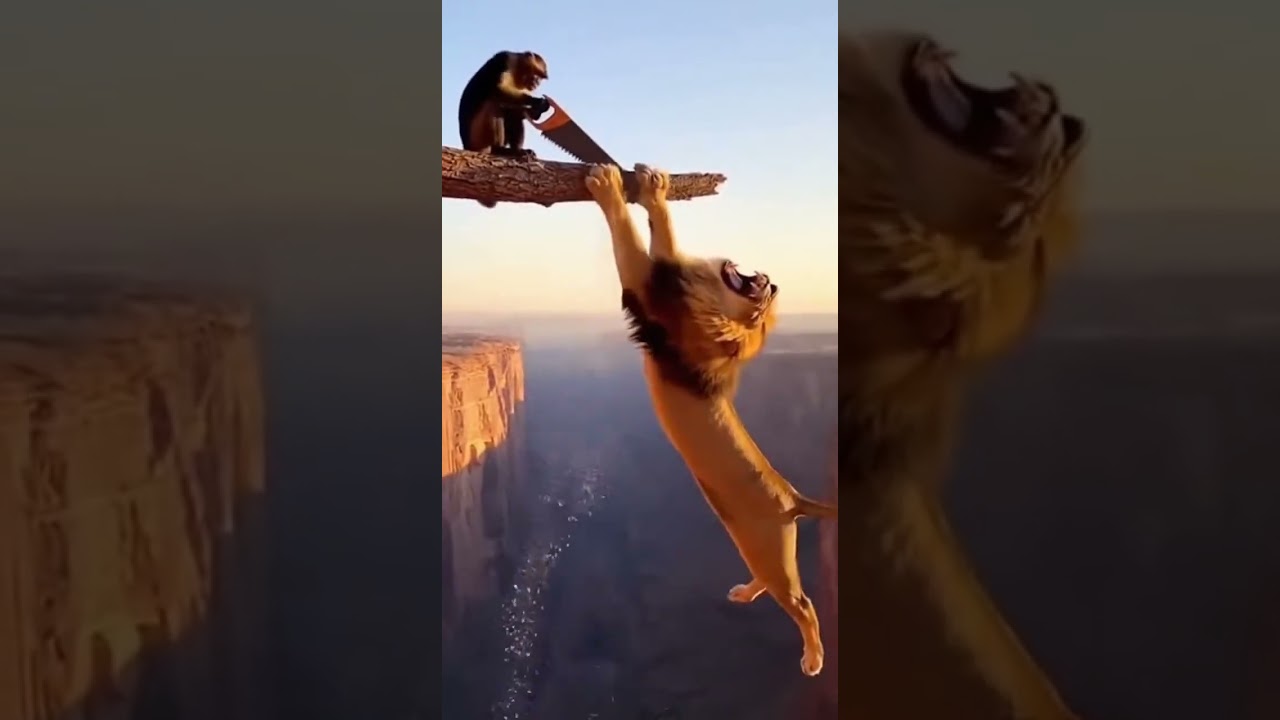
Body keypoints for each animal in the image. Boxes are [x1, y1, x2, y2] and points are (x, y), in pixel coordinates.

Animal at [583, 162, 839, 677]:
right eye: (770, 294)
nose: (769, 279)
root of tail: (793, 497)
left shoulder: (646, 286)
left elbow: (631, 233)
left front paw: (613, 184)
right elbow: (662, 236)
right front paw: (654, 182)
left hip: (770, 549)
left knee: (803, 605)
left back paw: (814, 658)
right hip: (759, 549)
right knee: (772, 585)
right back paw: (743, 593)